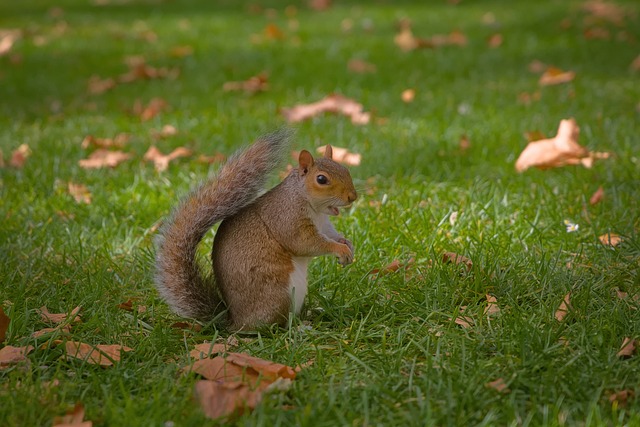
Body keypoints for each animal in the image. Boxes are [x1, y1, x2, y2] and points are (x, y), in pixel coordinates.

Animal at [153, 130, 358, 332]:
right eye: (321, 179)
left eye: (346, 170)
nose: (352, 197)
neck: (313, 207)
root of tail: (235, 322)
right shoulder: (287, 219)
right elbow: (306, 243)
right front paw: (340, 249)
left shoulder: (323, 224)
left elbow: (331, 235)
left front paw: (347, 244)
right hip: (279, 294)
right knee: (275, 326)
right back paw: (299, 328)